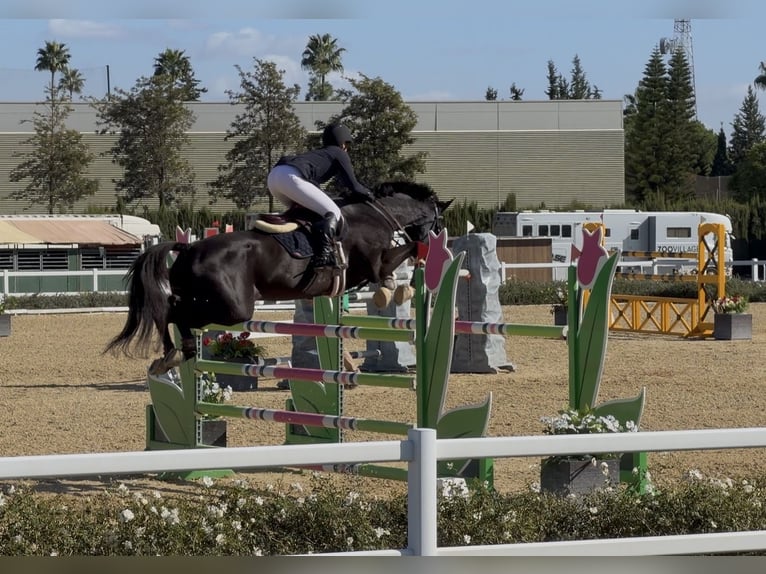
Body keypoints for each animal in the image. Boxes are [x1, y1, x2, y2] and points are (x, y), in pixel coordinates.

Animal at [105, 180, 452, 375]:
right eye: (437, 222)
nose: (433, 234)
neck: (377, 214)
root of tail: (189, 247)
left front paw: (397, 285)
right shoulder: (374, 263)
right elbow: (401, 255)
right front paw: (393, 287)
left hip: (207, 298)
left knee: (171, 310)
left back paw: (174, 354)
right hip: (234, 307)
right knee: (178, 312)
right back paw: (177, 353)